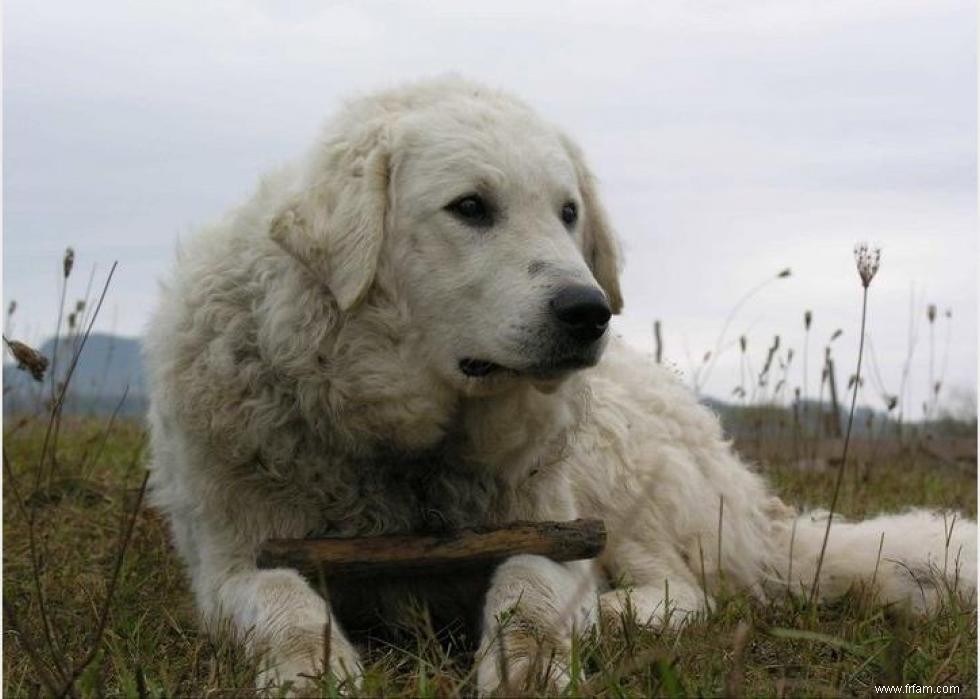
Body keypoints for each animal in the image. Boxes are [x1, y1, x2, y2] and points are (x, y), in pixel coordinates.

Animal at [142, 76, 976, 696]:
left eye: (568, 212)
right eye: (470, 207)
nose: (588, 311)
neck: (409, 451)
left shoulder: (552, 532)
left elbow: (527, 596)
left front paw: (531, 666)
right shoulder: (231, 560)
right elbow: (285, 602)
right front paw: (310, 671)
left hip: (620, 475)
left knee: (683, 592)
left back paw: (617, 613)